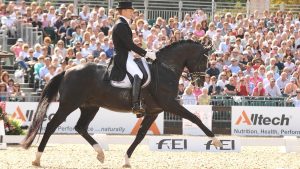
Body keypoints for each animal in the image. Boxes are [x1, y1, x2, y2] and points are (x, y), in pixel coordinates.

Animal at [21, 40, 223, 168]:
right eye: (204, 59)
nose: (200, 83)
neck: (165, 69)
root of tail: (67, 71)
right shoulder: (169, 105)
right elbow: (195, 118)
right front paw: (216, 141)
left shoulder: (154, 111)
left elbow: (140, 136)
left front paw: (126, 160)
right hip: (69, 104)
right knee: (52, 126)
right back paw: (37, 159)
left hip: (90, 106)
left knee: (81, 127)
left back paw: (100, 153)